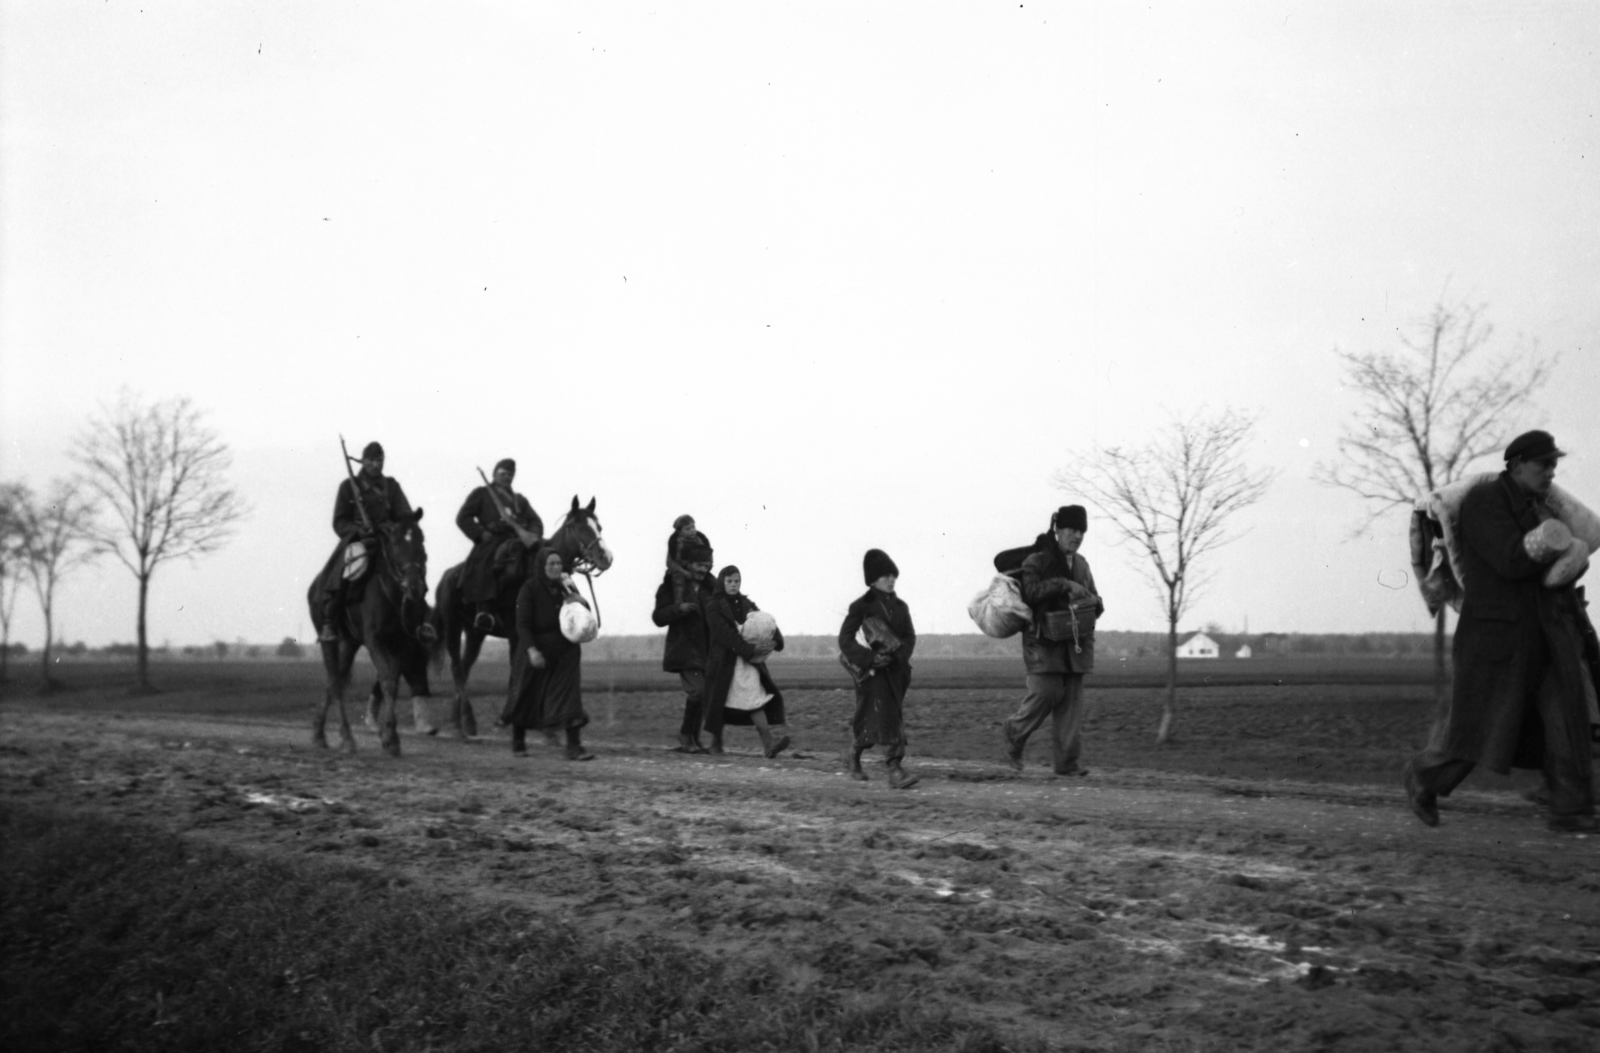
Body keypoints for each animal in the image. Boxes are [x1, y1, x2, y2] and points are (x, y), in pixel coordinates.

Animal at [300, 508, 435, 755]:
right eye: (396, 543)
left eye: (421, 539)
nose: (415, 587)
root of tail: (314, 587)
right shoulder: (374, 641)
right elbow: (387, 681)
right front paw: (390, 738)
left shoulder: (403, 643)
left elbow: (391, 681)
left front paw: (389, 734)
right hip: (329, 640)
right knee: (335, 683)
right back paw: (346, 738)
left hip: (348, 644)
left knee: (334, 681)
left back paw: (318, 734)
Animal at [432, 496, 611, 732]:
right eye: (577, 527)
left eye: (598, 526)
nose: (606, 557)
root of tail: (446, 578)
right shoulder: (517, 634)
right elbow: (516, 670)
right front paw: (508, 716)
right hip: (453, 628)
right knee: (456, 667)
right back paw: (467, 721)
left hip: (475, 633)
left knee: (464, 666)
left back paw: (458, 719)